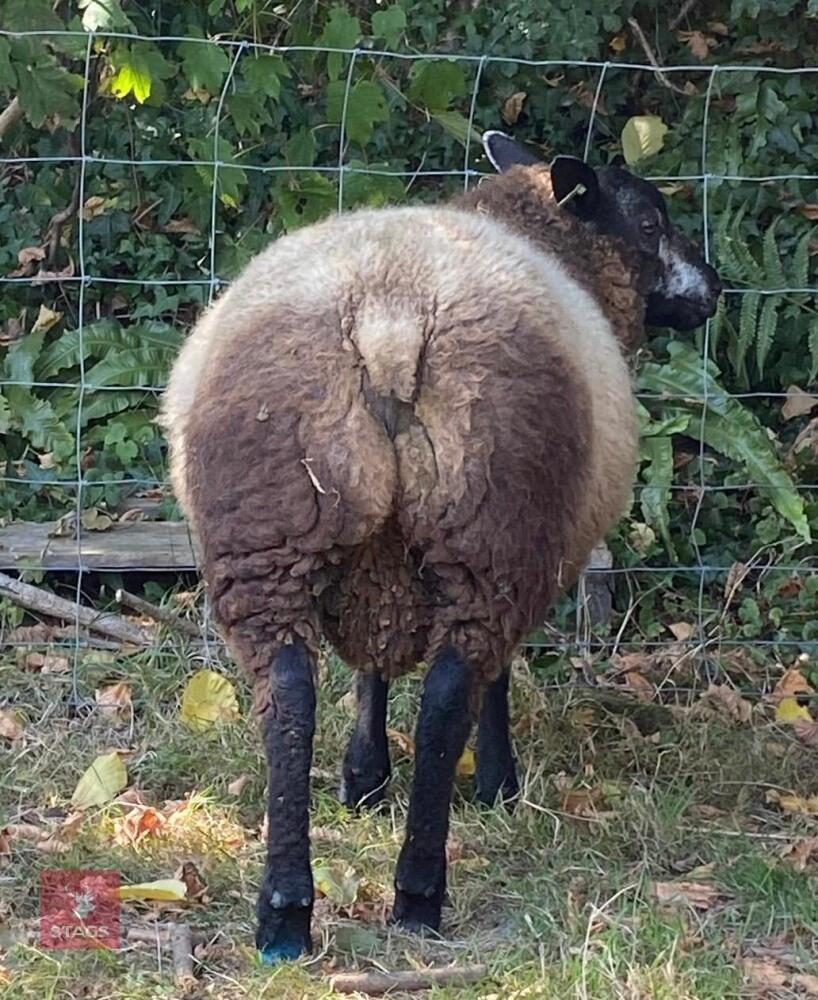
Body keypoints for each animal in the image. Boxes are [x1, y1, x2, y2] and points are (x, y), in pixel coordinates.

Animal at [159, 129, 722, 962]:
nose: (714, 286)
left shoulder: (382, 561)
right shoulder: (517, 547)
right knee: (451, 693)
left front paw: (362, 780)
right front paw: (494, 783)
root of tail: (389, 322)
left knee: (288, 695)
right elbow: (492, 679)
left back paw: (285, 912)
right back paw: (419, 892)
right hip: (494, 522)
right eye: (650, 222)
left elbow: (371, 665)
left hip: (269, 528)